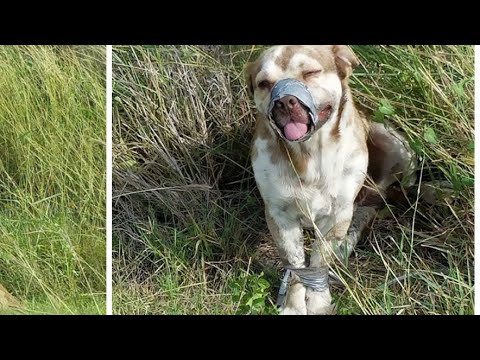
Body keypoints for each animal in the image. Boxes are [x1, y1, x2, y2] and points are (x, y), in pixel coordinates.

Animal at [244, 45, 416, 316]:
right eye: (264, 83)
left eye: (311, 72)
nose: (285, 101)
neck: (309, 155)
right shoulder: (279, 215)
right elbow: (296, 264)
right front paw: (293, 304)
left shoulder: (337, 214)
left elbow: (318, 260)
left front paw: (318, 303)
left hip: (396, 145)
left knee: (373, 204)